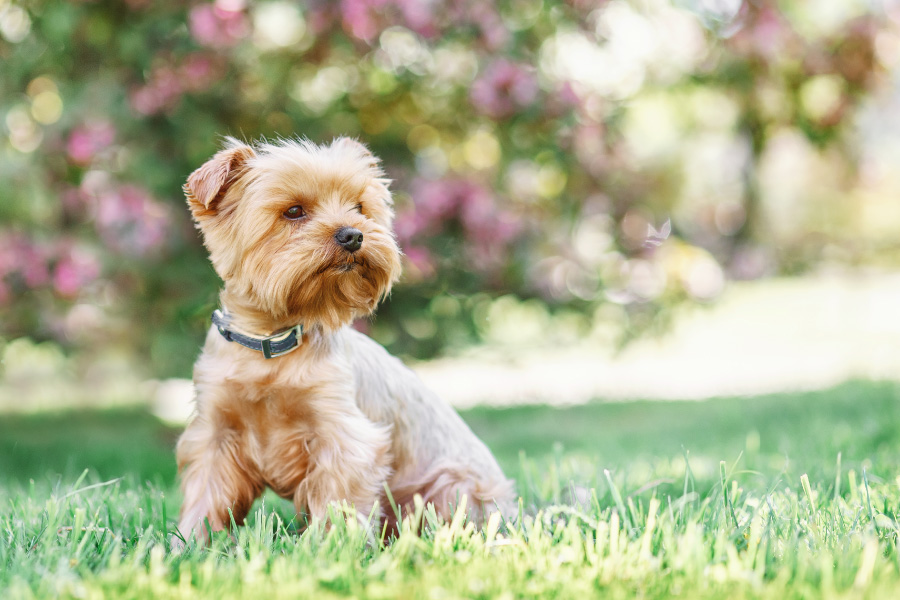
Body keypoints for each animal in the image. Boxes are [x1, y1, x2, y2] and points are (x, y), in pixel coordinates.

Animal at [176, 138, 512, 540]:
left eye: (359, 207)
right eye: (293, 211)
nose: (353, 234)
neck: (272, 341)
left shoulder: (344, 436)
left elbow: (338, 501)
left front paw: (327, 546)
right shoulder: (215, 433)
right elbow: (206, 495)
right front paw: (190, 542)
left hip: (453, 485)